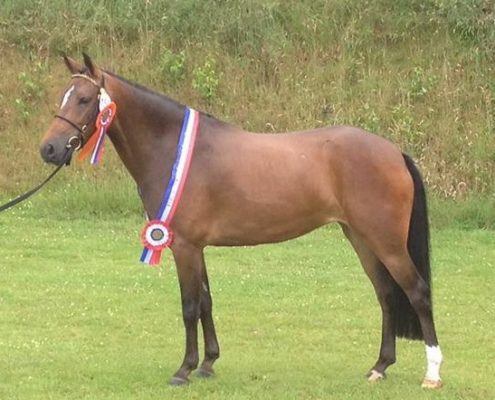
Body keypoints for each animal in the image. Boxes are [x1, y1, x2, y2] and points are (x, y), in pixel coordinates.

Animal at [37, 54, 442, 390]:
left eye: (84, 99)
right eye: (64, 96)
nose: (49, 149)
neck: (172, 148)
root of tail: (394, 151)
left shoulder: (184, 246)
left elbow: (189, 305)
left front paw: (184, 369)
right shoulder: (196, 247)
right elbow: (205, 301)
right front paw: (207, 364)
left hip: (386, 242)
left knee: (417, 293)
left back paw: (432, 374)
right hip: (361, 238)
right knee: (386, 294)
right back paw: (379, 367)